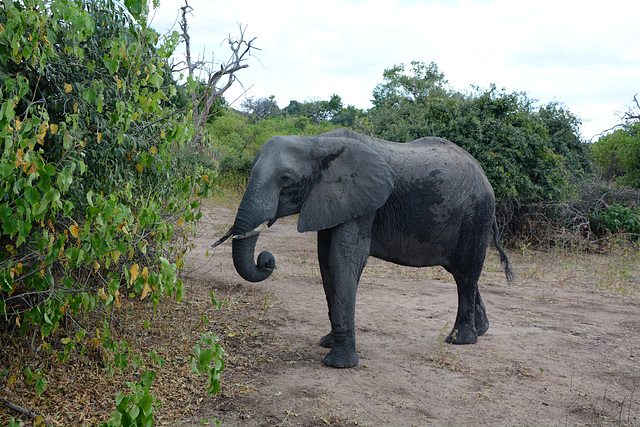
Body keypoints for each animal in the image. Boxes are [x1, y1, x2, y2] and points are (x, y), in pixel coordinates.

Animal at [212, 129, 513, 368]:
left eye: (286, 179)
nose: (266, 260)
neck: (318, 142)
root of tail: (485, 176)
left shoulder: (363, 202)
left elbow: (343, 260)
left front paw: (339, 363)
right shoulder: (332, 200)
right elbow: (325, 261)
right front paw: (327, 342)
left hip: (476, 216)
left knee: (466, 273)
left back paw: (460, 339)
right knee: (463, 274)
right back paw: (481, 330)